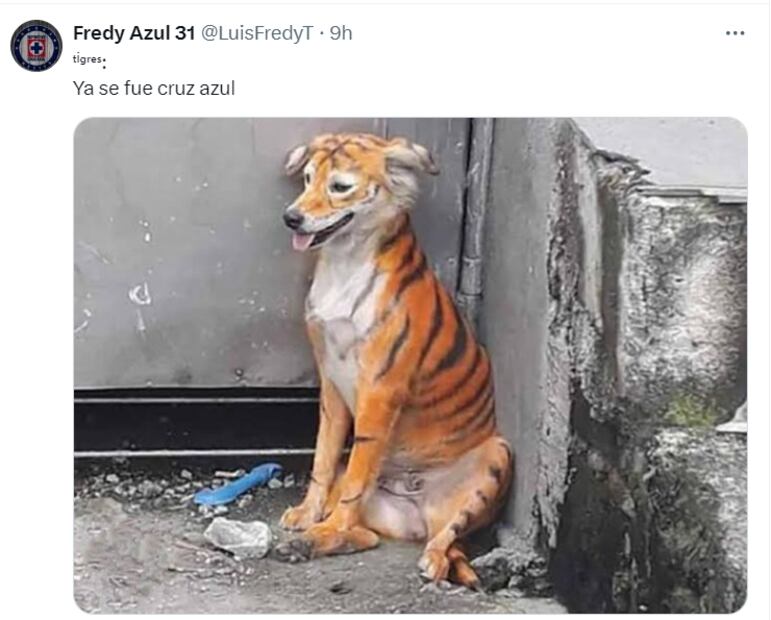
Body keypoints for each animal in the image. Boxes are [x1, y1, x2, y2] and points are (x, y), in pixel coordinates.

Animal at [274, 132, 513, 589]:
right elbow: (323, 459)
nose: (290, 218)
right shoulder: (331, 384)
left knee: (445, 540)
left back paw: (425, 560)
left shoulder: (380, 389)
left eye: (340, 186)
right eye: (308, 178)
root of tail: (418, 507)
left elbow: (354, 478)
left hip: (497, 456)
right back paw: (308, 543)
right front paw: (309, 516)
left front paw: (325, 526)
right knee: (366, 536)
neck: (344, 262)